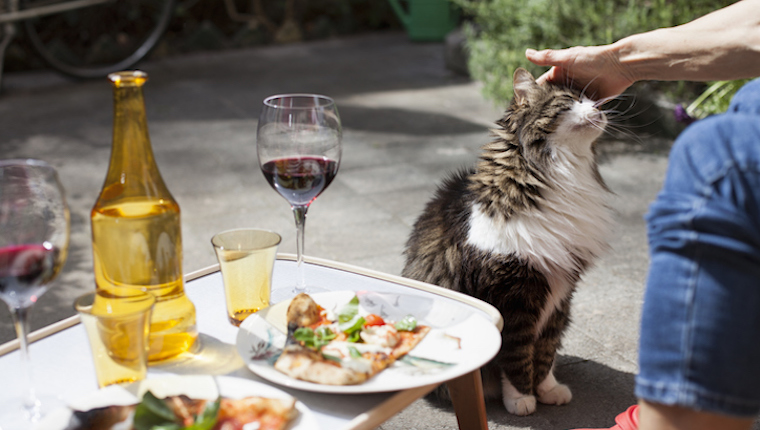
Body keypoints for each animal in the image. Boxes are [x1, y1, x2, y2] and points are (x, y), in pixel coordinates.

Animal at [400, 68, 616, 416]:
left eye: (590, 100)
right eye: (569, 101)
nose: (599, 109)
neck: (557, 174)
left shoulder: (560, 291)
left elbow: (545, 350)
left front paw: (547, 390)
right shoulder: (511, 294)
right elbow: (515, 354)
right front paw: (521, 399)